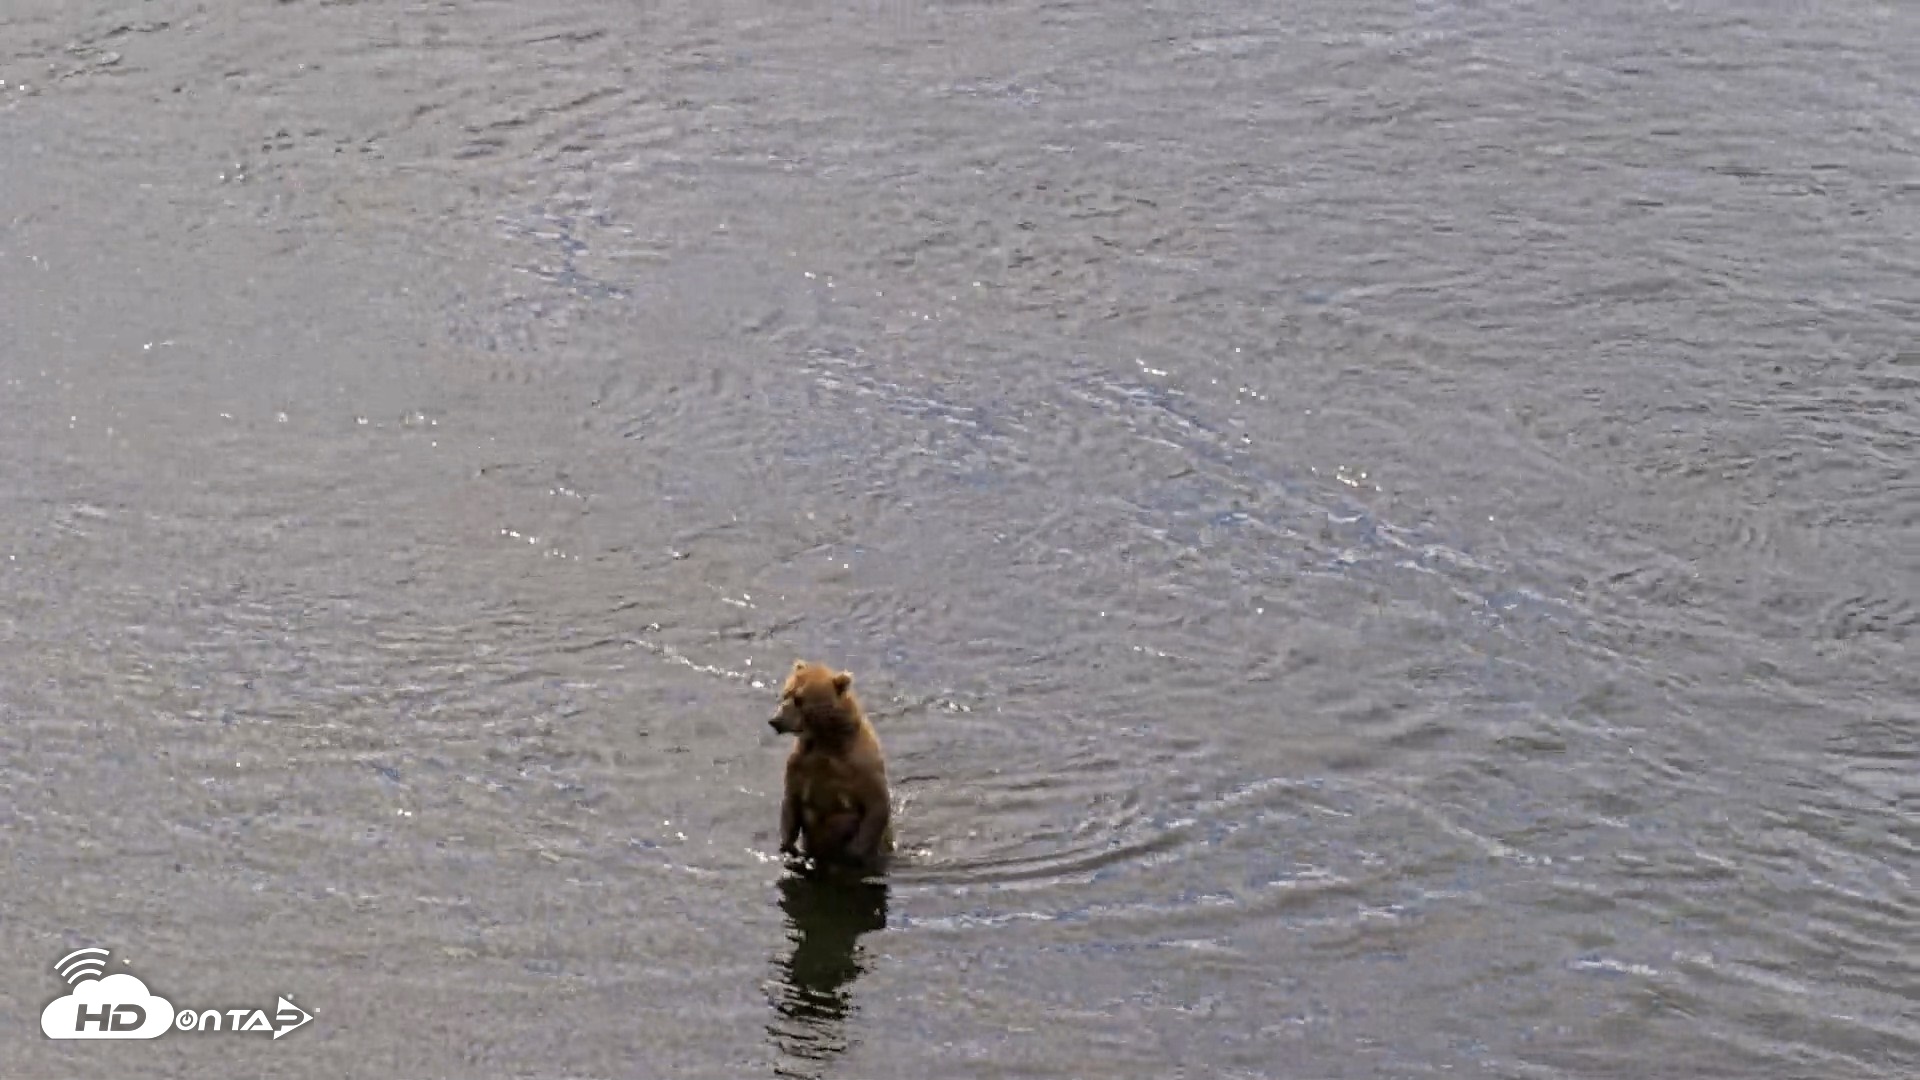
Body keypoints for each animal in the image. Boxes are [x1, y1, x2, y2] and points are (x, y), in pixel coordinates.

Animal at [768, 659, 892, 869]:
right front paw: (788, 846)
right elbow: (791, 802)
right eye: (785, 694)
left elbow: (876, 805)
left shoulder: (861, 768)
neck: (826, 741)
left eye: (799, 699)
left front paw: (853, 853)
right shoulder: (801, 765)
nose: (775, 721)